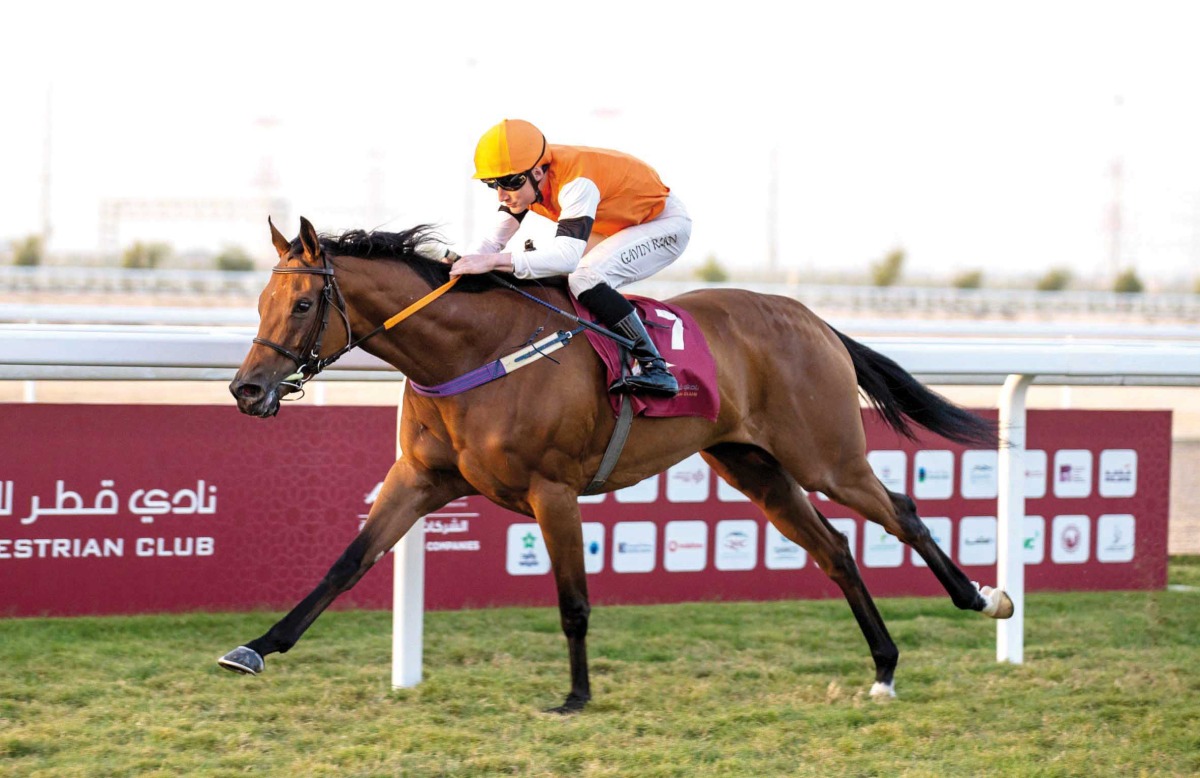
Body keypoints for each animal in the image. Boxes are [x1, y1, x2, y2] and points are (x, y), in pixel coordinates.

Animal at [218, 213, 1012, 710]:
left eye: (302, 305)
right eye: (259, 302)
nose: (246, 390)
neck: (474, 353)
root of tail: (814, 318)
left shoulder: (553, 491)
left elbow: (572, 600)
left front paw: (576, 695)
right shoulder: (419, 479)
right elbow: (347, 563)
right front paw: (255, 647)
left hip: (825, 456)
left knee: (902, 513)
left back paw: (983, 599)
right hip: (754, 466)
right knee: (836, 549)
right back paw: (884, 667)